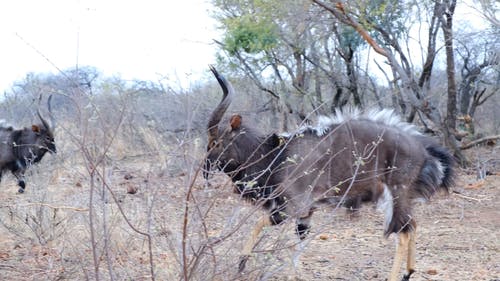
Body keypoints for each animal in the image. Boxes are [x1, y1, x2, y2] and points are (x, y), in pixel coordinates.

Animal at [205, 66, 456, 280]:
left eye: (215, 142)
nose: (206, 170)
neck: (276, 154)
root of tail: (424, 149)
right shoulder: (306, 213)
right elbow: (300, 239)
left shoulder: (292, 207)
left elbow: (260, 223)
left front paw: (242, 263)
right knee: (412, 225)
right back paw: (408, 271)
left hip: (395, 196)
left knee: (402, 232)